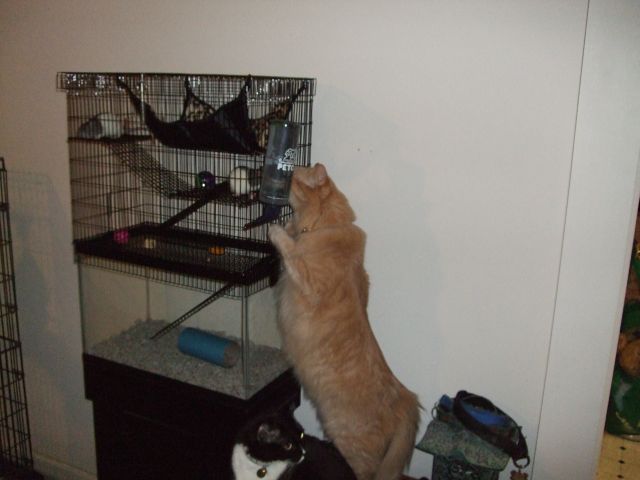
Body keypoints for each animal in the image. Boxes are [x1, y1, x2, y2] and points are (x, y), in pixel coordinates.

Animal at [268, 163, 421, 480]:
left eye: (292, 173)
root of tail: (405, 398)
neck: (324, 225)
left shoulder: (308, 279)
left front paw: (276, 229)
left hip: (351, 446)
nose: (282, 175)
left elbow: (290, 249)